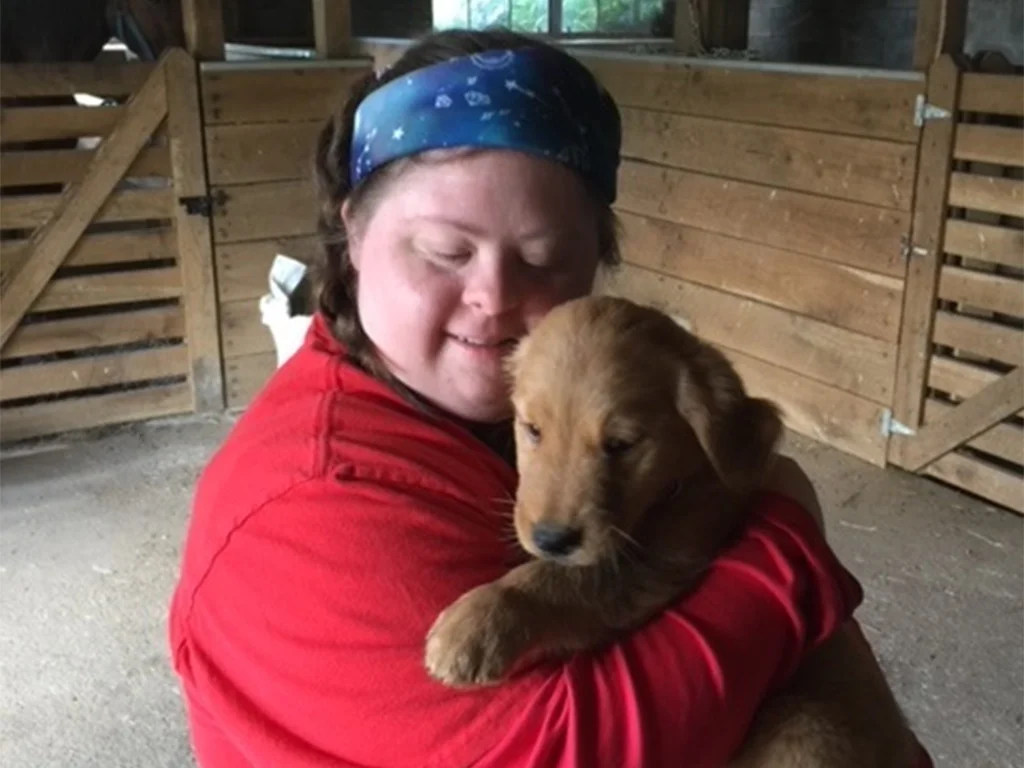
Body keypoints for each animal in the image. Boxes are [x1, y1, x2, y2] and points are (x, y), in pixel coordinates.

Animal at [423, 296, 921, 768]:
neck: (669, 490)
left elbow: (568, 579)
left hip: (808, 729)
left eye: (620, 445)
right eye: (533, 430)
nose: (551, 539)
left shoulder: (663, 558)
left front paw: (476, 627)